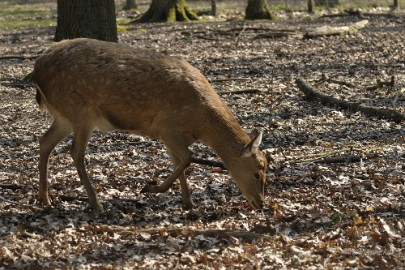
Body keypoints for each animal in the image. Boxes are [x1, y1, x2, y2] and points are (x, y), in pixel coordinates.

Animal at [34, 38, 268, 213]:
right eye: (258, 172)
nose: (261, 203)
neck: (202, 124)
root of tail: (37, 68)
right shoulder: (166, 127)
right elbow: (187, 158)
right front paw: (151, 188)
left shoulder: (171, 136)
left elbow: (179, 161)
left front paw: (188, 202)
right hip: (81, 111)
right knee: (75, 152)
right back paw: (95, 203)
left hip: (64, 116)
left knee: (45, 141)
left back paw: (45, 198)